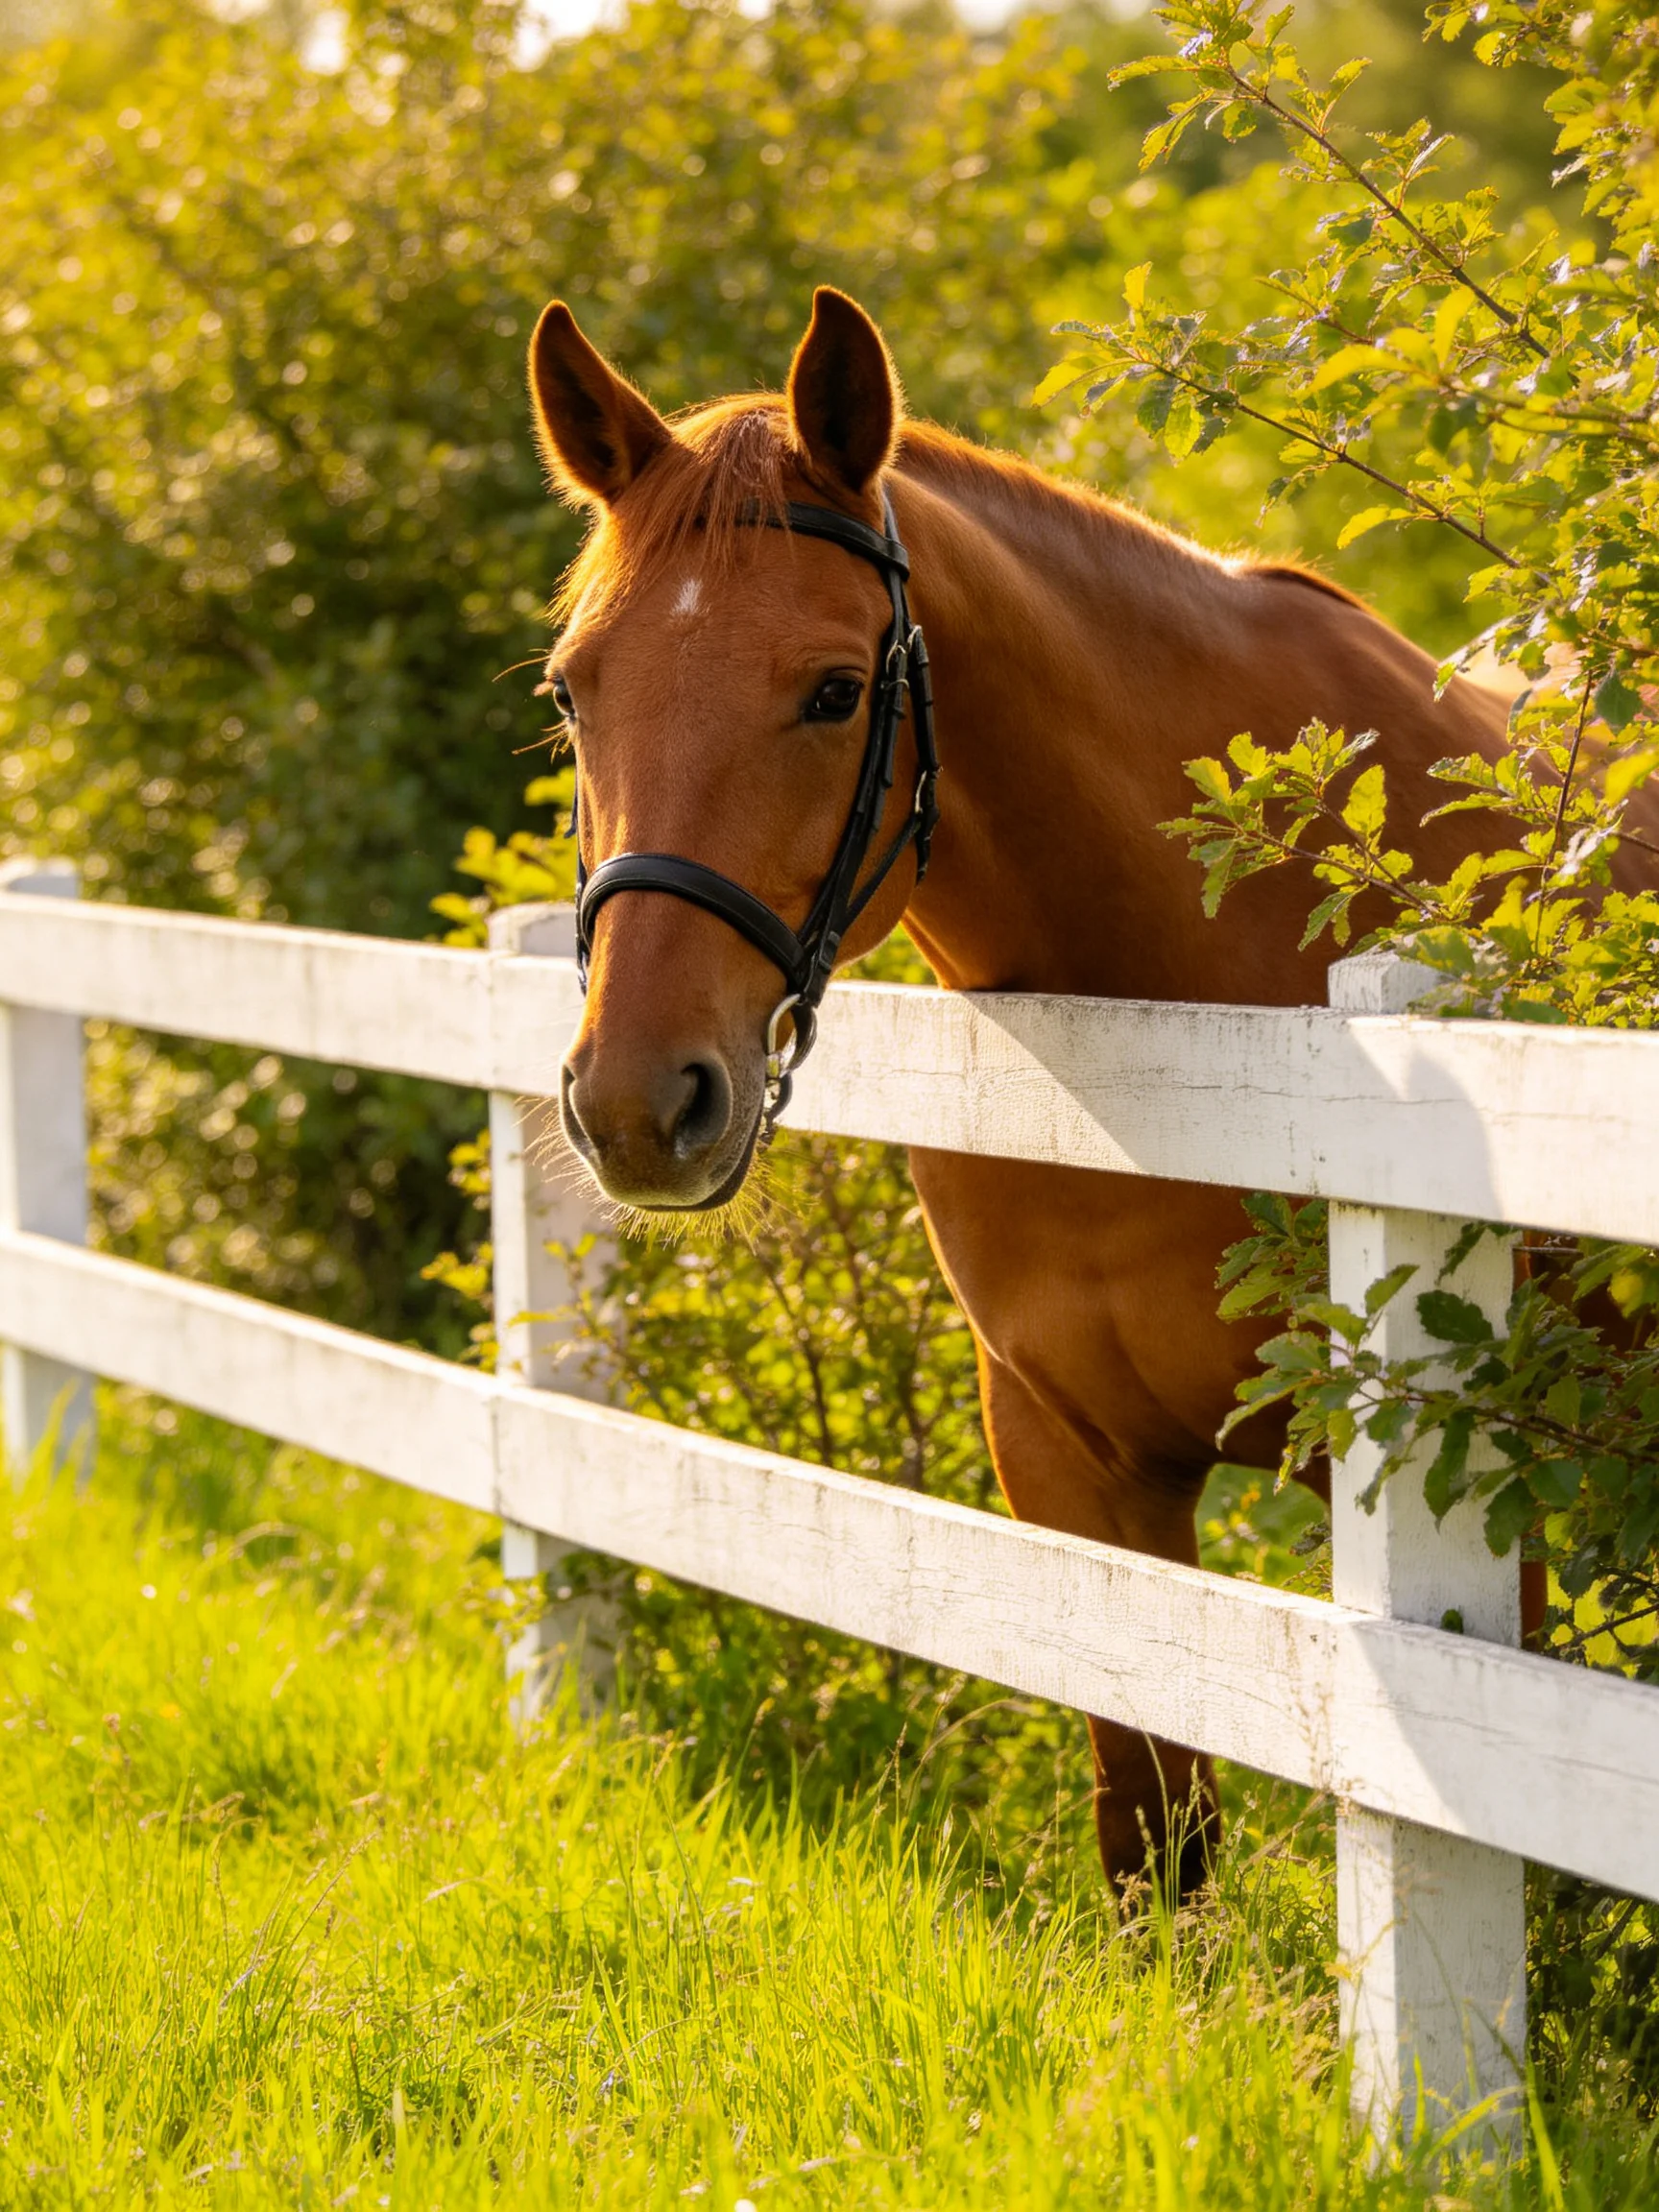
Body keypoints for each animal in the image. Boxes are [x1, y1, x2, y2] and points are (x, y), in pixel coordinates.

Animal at [521, 284, 1569, 1894]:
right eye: (574, 692)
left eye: (835, 691)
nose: (639, 1102)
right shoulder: (1077, 1475)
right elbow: (1157, 1843)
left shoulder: (1462, 1501)